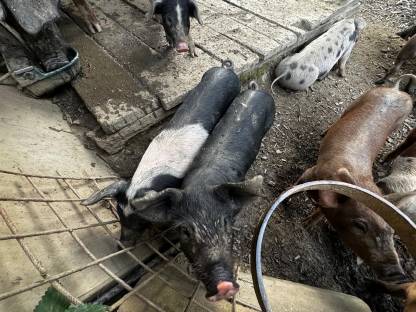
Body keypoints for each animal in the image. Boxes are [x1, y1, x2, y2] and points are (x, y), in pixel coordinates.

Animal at [298, 74, 416, 282]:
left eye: (392, 231)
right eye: (360, 225)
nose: (398, 274)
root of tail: (396, 90)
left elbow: (321, 211)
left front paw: (308, 225)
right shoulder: (310, 172)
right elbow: (296, 186)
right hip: (359, 100)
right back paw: (324, 133)